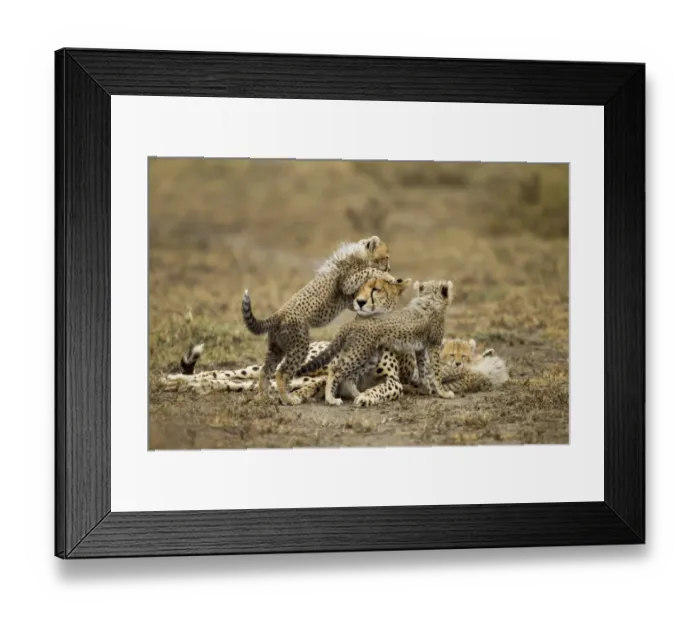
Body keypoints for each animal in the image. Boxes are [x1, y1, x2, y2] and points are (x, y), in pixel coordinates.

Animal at [241, 235, 396, 405]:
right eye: (386, 257)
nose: (389, 268)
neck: (359, 256)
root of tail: (278, 314)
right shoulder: (347, 283)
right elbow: (368, 271)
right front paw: (389, 277)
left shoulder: (351, 299)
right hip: (299, 346)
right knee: (281, 373)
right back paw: (289, 399)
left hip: (277, 348)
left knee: (265, 370)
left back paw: (263, 396)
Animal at [296, 279, 456, 406]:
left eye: (376, 289)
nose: (360, 302)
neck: (429, 300)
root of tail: (356, 321)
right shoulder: (434, 344)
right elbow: (436, 370)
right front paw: (443, 392)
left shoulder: (420, 347)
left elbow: (422, 367)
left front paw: (425, 388)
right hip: (359, 352)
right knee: (335, 370)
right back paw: (331, 398)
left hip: (367, 356)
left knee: (347, 377)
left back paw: (356, 393)